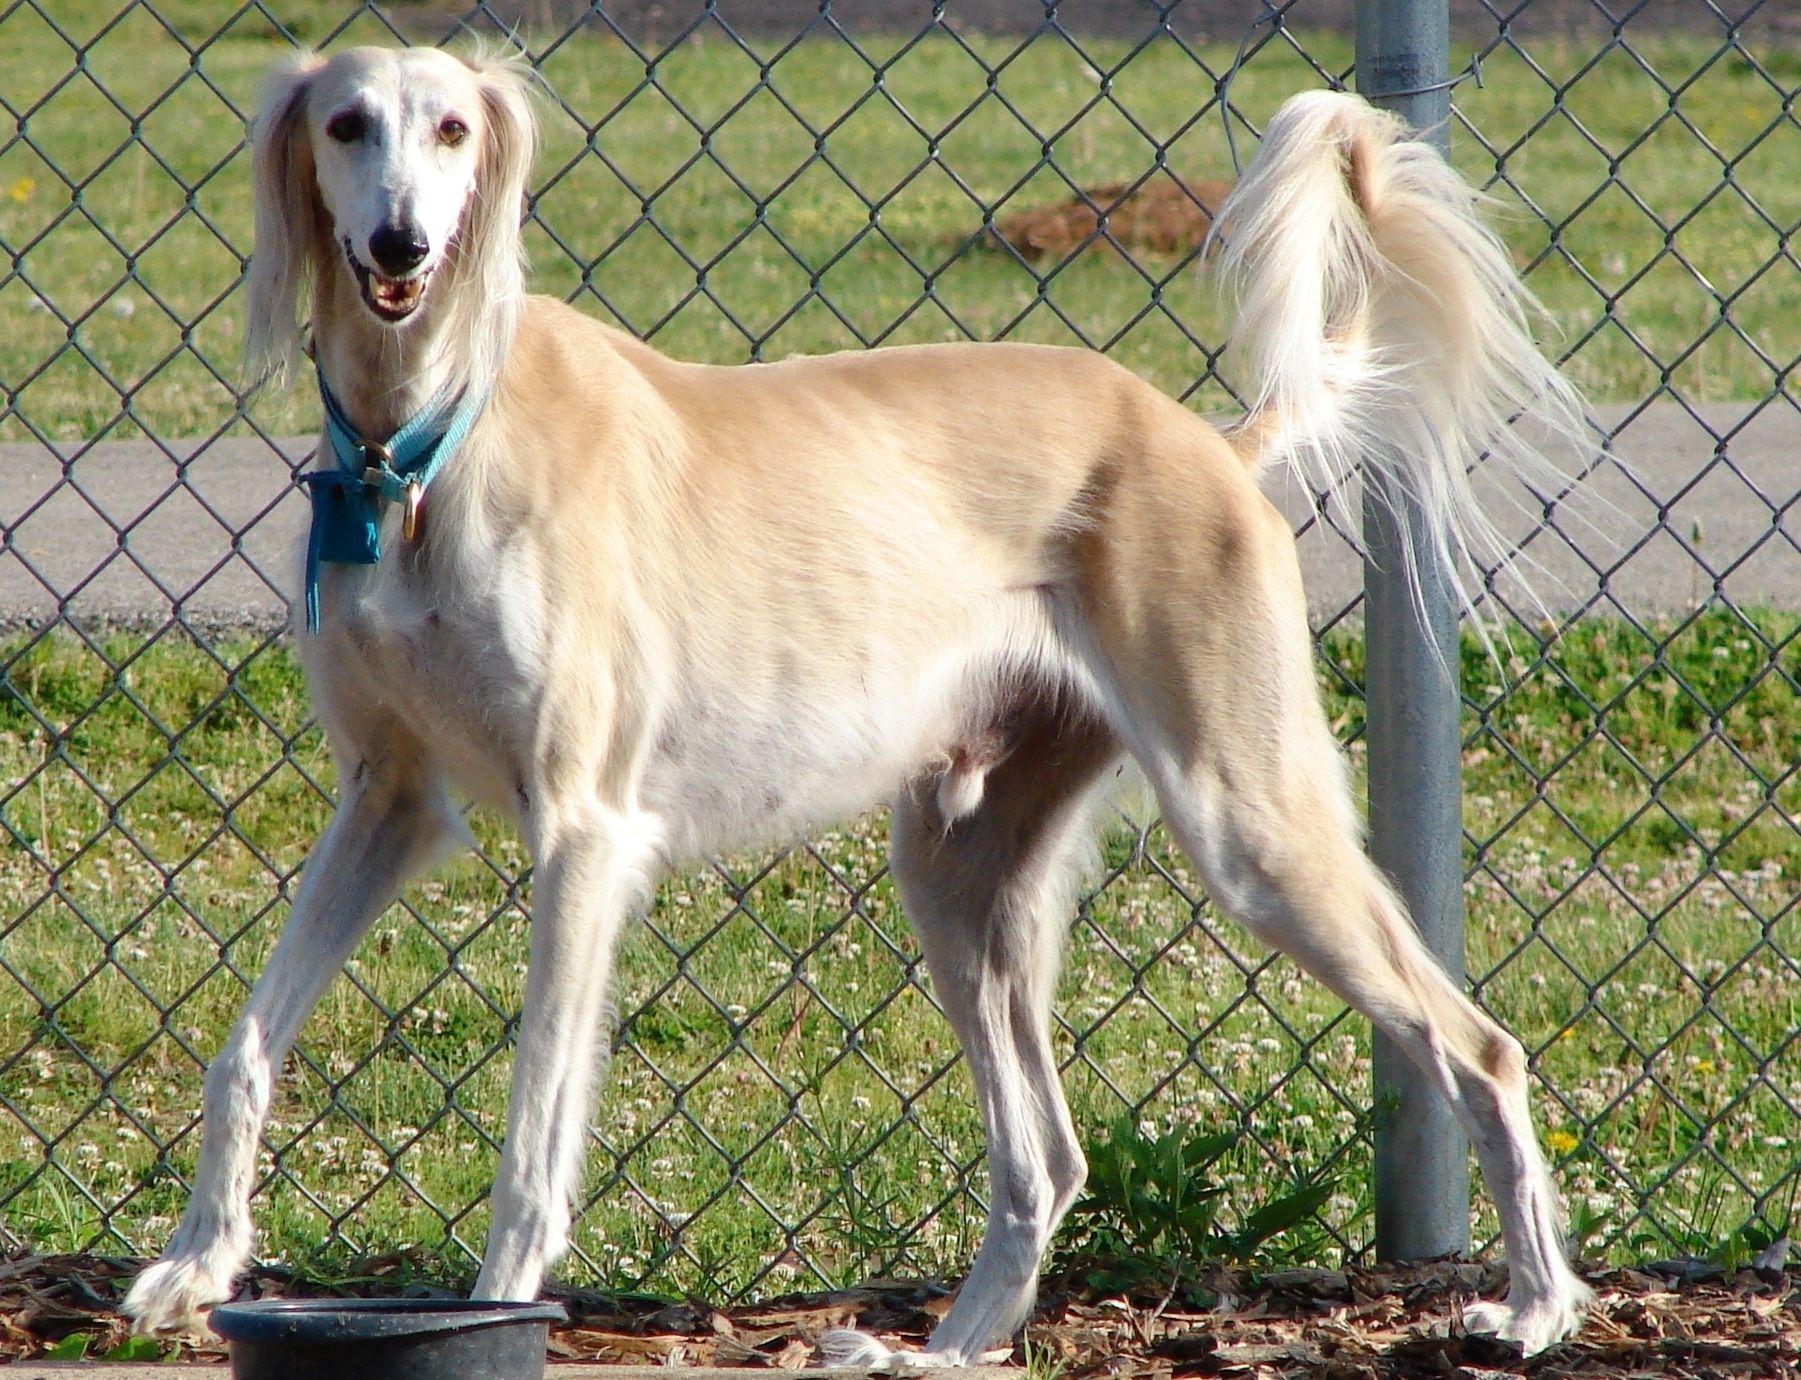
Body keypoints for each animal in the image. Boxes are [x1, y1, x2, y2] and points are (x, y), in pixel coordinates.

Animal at [123, 45, 1592, 1361]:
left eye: (452, 131)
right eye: (345, 124)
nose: (400, 246)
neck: (426, 441)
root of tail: (1204, 440)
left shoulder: (585, 832)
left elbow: (535, 1124)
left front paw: (493, 1304)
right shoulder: (386, 801)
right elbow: (242, 1047)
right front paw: (196, 1263)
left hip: (1248, 822)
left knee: (1480, 1048)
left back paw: (1531, 1308)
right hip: (960, 870)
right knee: (1047, 1160)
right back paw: (944, 1351)